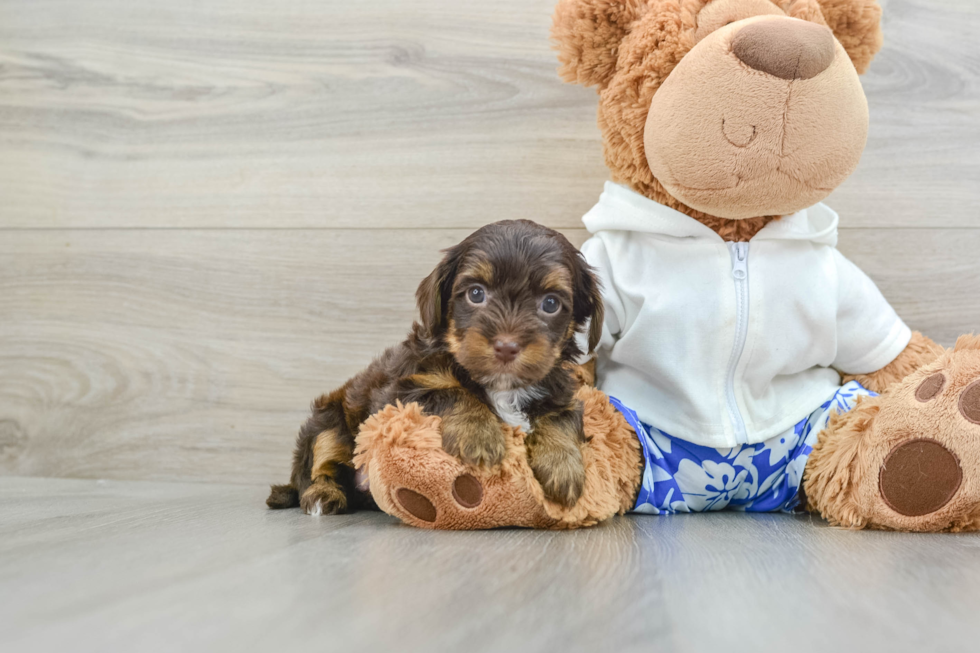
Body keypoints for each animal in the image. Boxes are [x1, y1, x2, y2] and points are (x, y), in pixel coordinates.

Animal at [268, 220, 604, 516]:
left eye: (551, 303)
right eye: (476, 293)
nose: (507, 346)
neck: (502, 386)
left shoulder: (561, 391)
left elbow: (563, 417)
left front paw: (563, 466)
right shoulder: (397, 394)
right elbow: (451, 392)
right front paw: (479, 435)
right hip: (327, 422)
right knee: (318, 466)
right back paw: (322, 496)